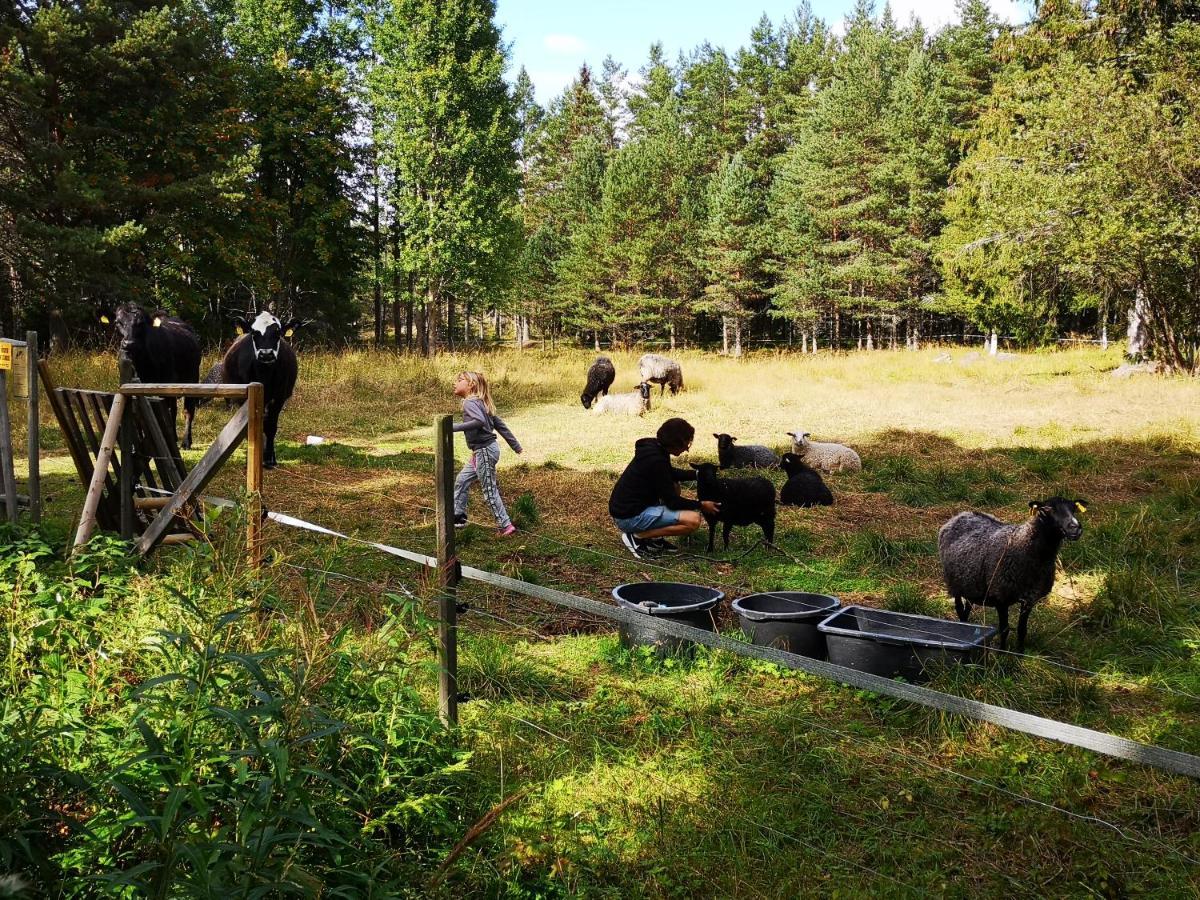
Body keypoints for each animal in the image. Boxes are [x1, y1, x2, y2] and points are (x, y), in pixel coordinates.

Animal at [102, 303, 200, 451]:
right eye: (118, 322)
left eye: (141, 323)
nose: (129, 344)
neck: (143, 365)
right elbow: (138, 415)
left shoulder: (165, 386)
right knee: (174, 409)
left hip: (192, 378)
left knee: (188, 410)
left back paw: (186, 441)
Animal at [223, 312, 302, 468]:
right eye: (254, 333)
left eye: (278, 332)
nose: (266, 354)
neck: (264, 375)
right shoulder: (243, 398)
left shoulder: (279, 398)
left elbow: (271, 427)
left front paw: (269, 458)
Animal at [936, 496, 1089, 652]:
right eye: (1048, 509)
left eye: (1073, 508)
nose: (1075, 528)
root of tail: (962, 514)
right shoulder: (1000, 597)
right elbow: (1004, 629)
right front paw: (1002, 653)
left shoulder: (1029, 599)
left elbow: (1022, 630)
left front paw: (1020, 653)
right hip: (954, 584)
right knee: (960, 609)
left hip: (971, 584)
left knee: (968, 607)